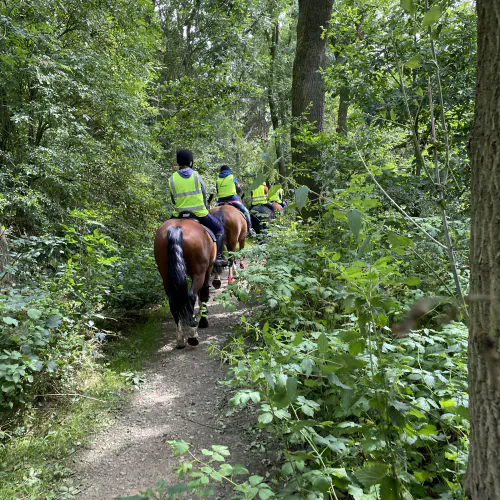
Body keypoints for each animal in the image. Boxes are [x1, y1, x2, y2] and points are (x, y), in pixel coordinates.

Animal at [152, 219, 215, 348]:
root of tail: (177, 228)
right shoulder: (208, 270)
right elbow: (203, 294)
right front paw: (203, 320)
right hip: (199, 273)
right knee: (191, 296)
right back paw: (193, 335)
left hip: (165, 275)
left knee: (173, 301)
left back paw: (180, 339)